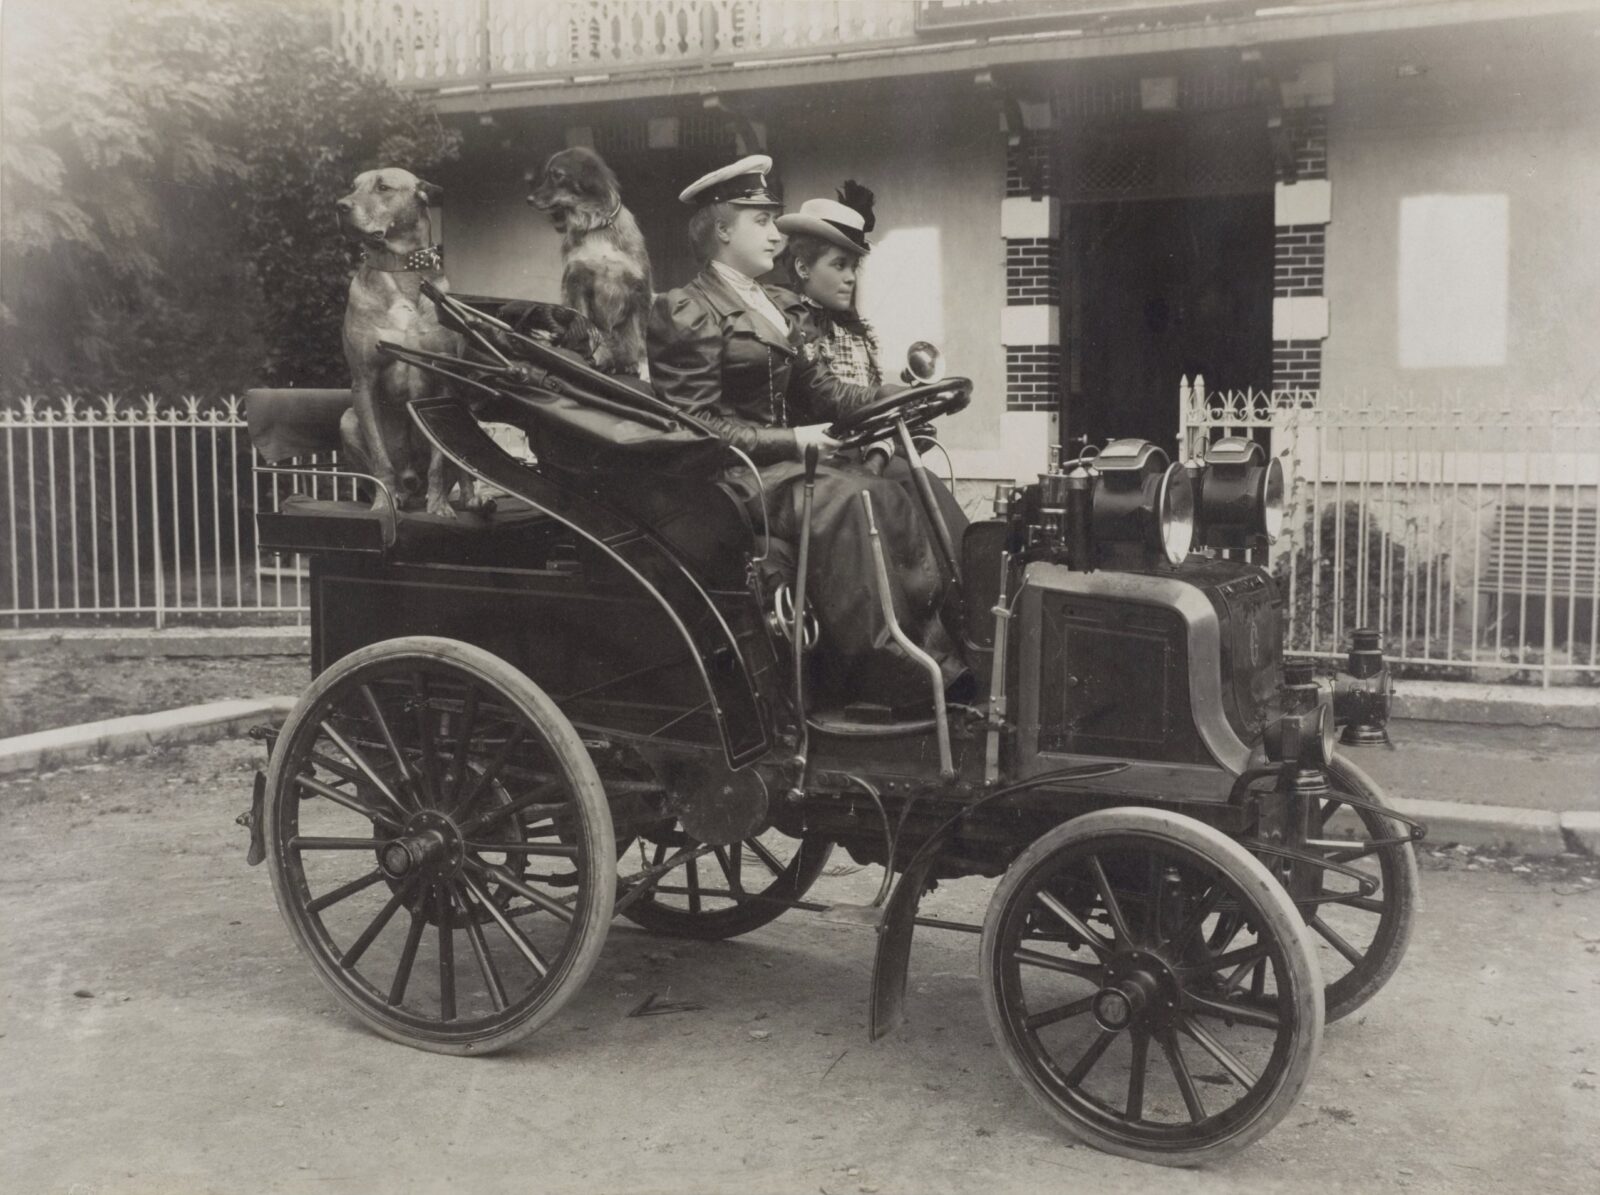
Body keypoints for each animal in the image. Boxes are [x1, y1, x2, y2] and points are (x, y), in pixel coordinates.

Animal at [524, 148, 649, 374]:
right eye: (546, 175)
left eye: (557, 175)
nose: (529, 199)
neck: (596, 228)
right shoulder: (576, 282)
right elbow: (583, 324)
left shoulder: (640, 289)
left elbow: (642, 343)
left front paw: (646, 375)